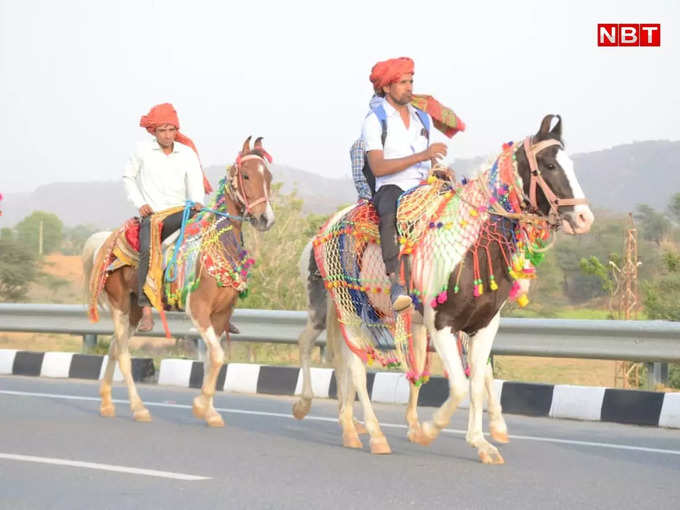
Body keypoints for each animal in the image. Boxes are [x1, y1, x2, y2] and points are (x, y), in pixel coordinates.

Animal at [83, 135, 274, 426]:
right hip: (119, 306)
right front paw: (201, 405)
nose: (266, 218)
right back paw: (138, 408)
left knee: (115, 347)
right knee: (124, 353)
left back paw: (106, 403)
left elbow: (212, 360)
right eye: (246, 175)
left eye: (269, 176)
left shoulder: (221, 315)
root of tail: (106, 242)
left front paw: (209, 410)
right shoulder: (198, 309)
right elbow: (217, 357)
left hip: (134, 312)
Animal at [292, 114, 596, 462]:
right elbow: (460, 386)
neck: (470, 247)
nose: (584, 217)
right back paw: (366, 431)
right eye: (548, 164)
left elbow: (477, 382)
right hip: (346, 311)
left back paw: (352, 426)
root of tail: (325, 229)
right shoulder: (442, 325)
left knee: (348, 360)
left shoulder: (483, 326)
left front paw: (481, 442)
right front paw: (429, 430)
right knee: (347, 363)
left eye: (570, 163)